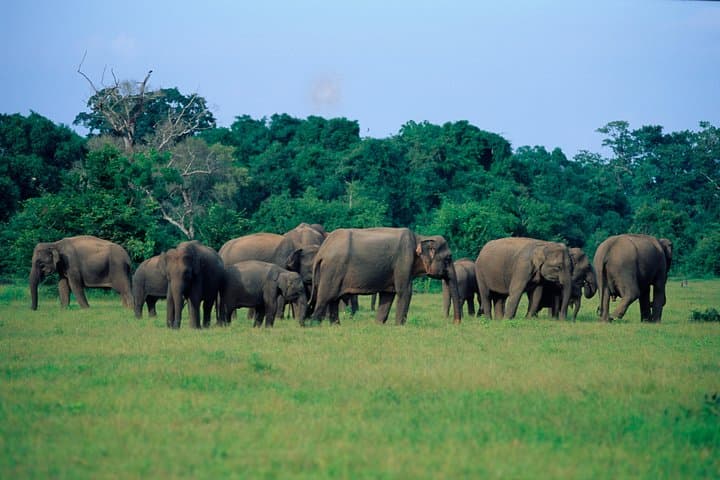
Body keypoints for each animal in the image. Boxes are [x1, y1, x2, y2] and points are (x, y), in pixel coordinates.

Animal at [310, 228, 461, 325]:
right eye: (448, 258)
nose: (456, 323)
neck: (421, 237)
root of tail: (322, 251)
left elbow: (388, 295)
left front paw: (378, 324)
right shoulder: (403, 261)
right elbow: (405, 292)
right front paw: (399, 326)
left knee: (333, 300)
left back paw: (335, 325)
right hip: (332, 271)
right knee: (324, 298)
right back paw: (313, 324)